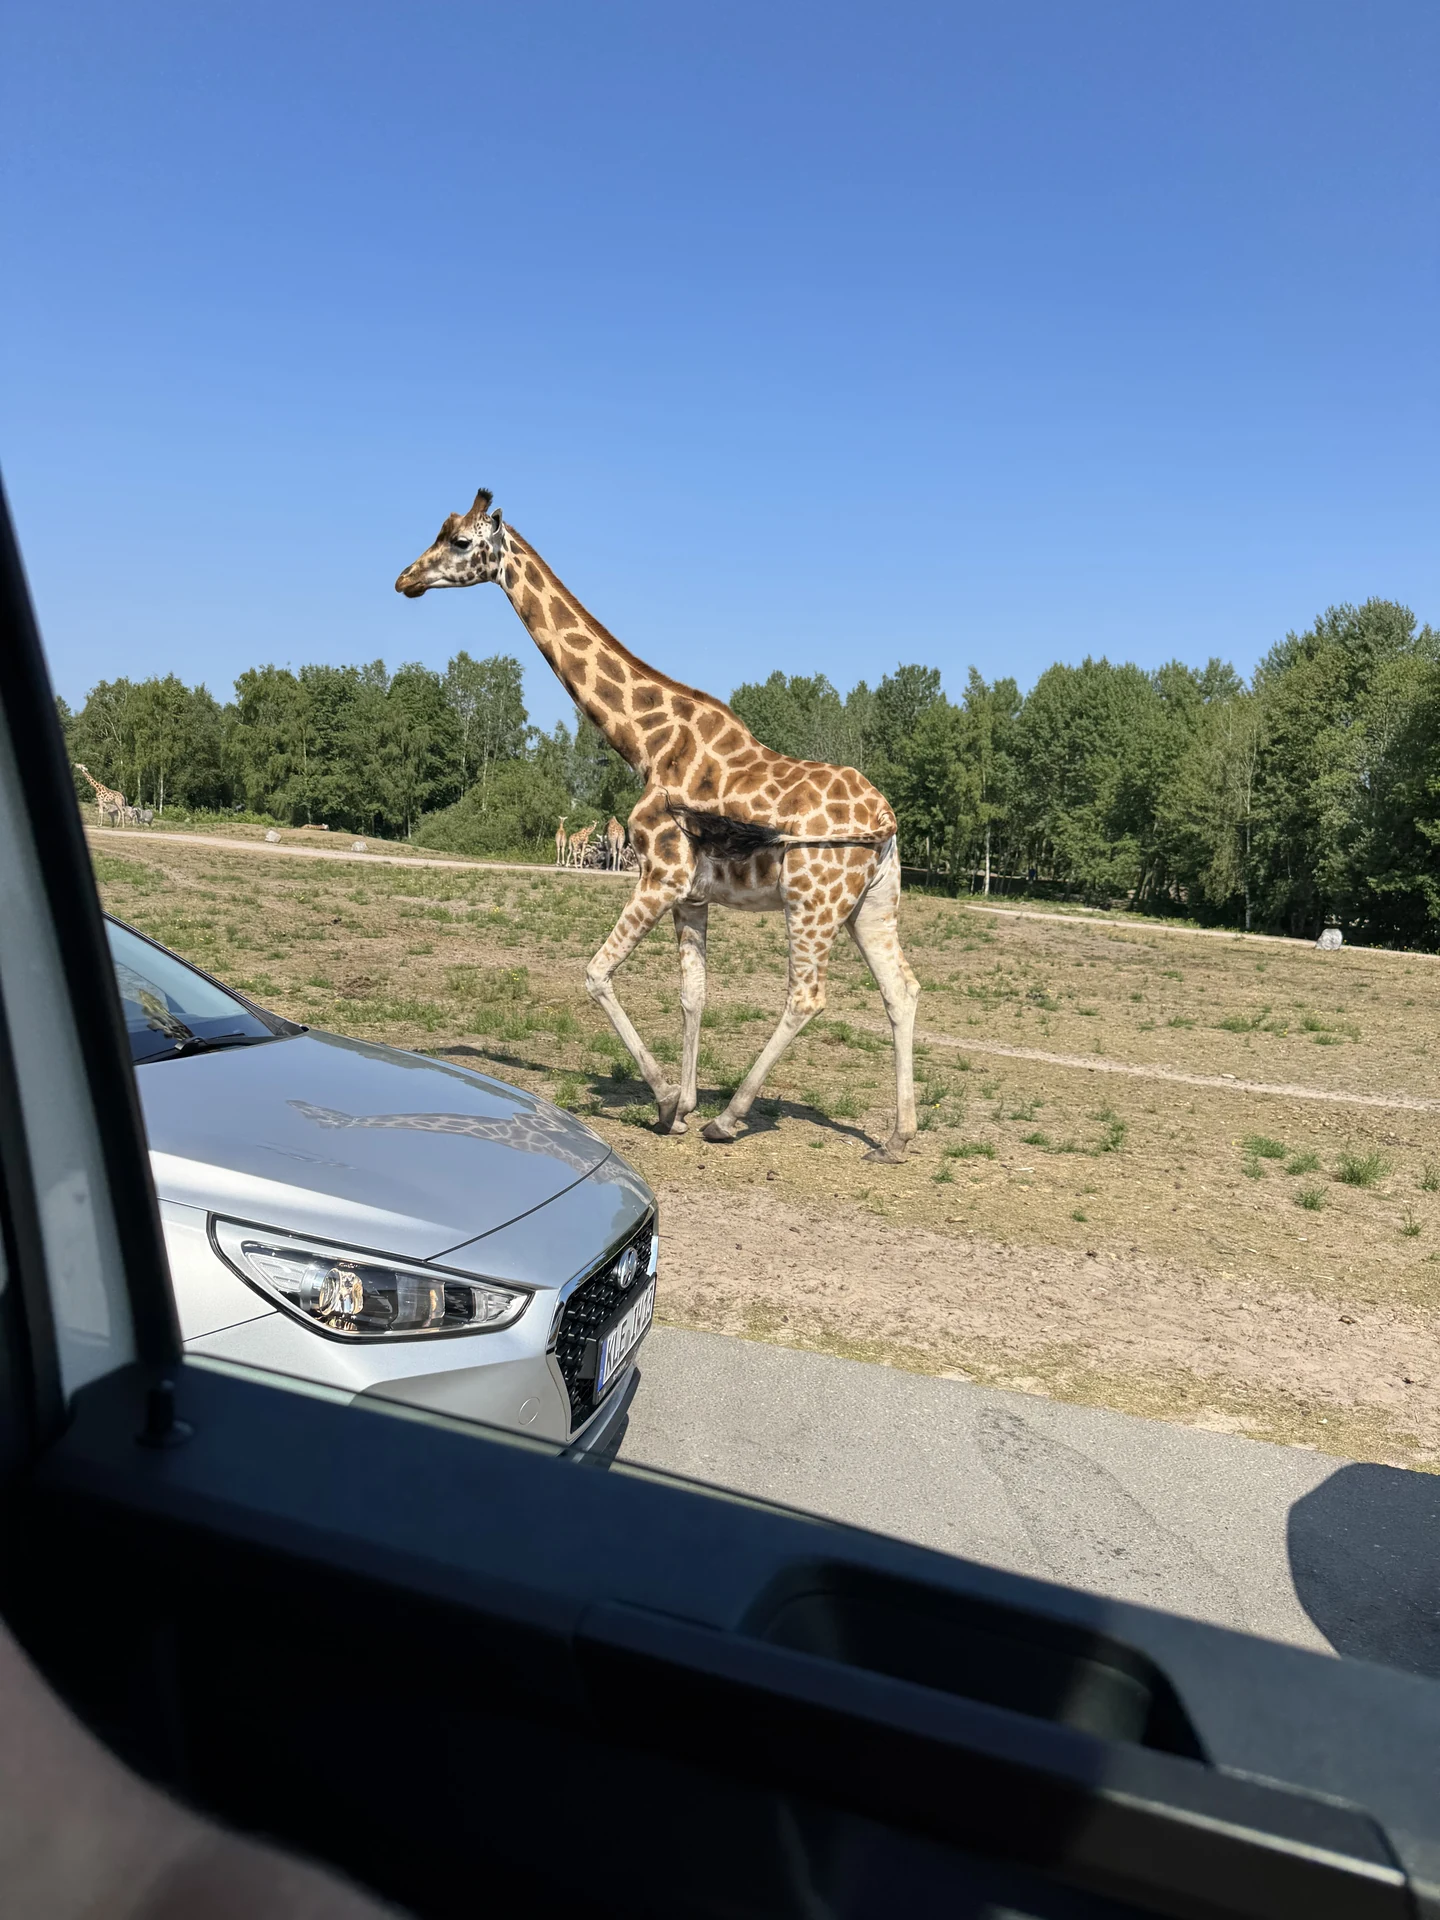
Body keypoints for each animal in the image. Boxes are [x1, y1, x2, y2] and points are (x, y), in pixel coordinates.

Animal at [396, 489, 919, 1159]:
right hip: (872, 902)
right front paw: (687, 1102)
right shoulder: (691, 896)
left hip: (813, 898)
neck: (645, 745)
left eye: (460, 542)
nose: (405, 579)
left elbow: (595, 973)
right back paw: (898, 1136)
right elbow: (693, 993)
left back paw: (733, 1118)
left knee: (807, 995)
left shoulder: (660, 875)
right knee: (900, 989)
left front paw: (670, 1102)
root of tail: (886, 818)